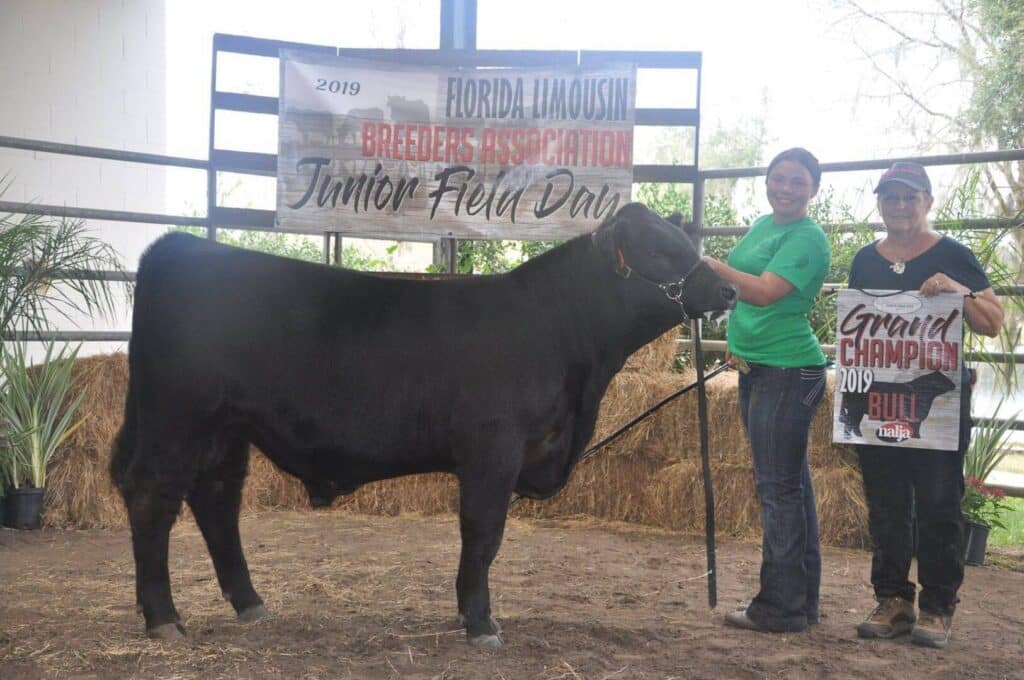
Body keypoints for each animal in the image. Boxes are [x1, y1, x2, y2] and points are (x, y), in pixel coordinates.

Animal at [110, 203, 737, 647]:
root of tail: (179, 247)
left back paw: (249, 603)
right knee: (152, 498)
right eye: (658, 250)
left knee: (216, 501)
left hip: (224, 430)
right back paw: (164, 618)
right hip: (177, 419)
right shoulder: (493, 450)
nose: (728, 288)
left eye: (687, 243)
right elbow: (483, 535)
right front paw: (481, 622)